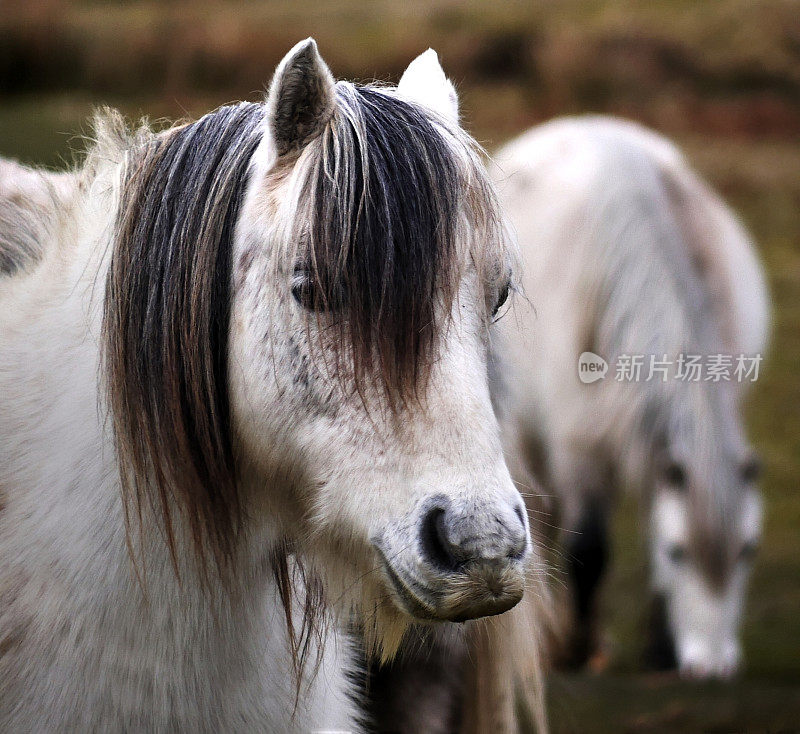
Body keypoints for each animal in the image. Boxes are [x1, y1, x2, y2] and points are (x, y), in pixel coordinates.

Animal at [494, 116, 768, 684]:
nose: (712, 668)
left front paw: (661, 649)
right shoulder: (578, 444)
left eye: (747, 551)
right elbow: (588, 549)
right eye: (680, 553)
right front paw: (577, 650)